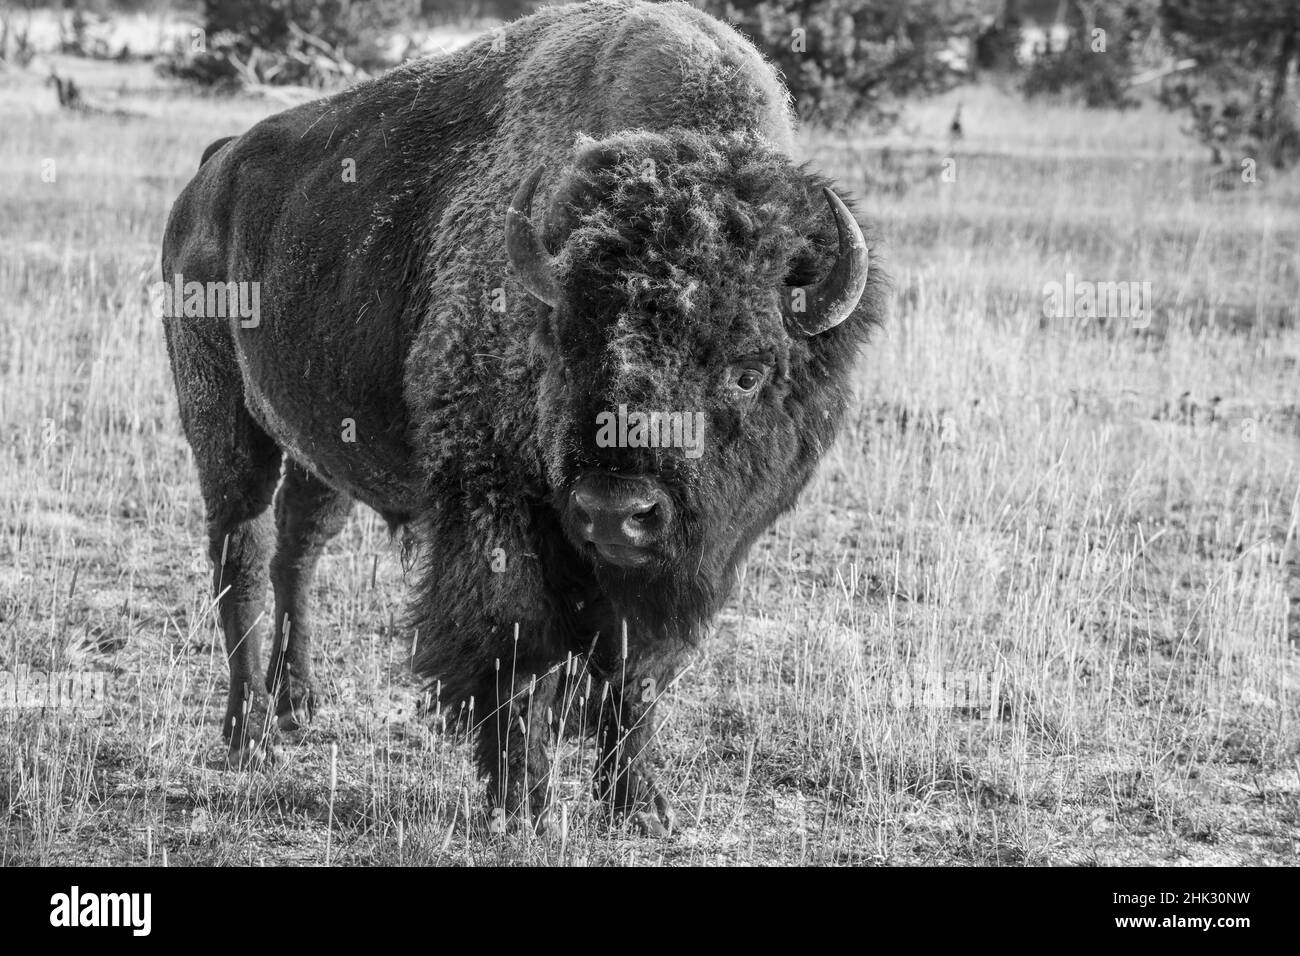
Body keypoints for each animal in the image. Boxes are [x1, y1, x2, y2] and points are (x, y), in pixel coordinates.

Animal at [157, 0, 878, 837]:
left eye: (747, 371)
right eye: (566, 347)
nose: (616, 511)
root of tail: (211, 172)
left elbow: (637, 672)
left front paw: (639, 806)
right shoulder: (496, 508)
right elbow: (516, 646)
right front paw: (521, 802)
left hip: (318, 449)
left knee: (296, 553)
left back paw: (298, 705)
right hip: (222, 419)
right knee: (241, 554)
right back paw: (251, 737)